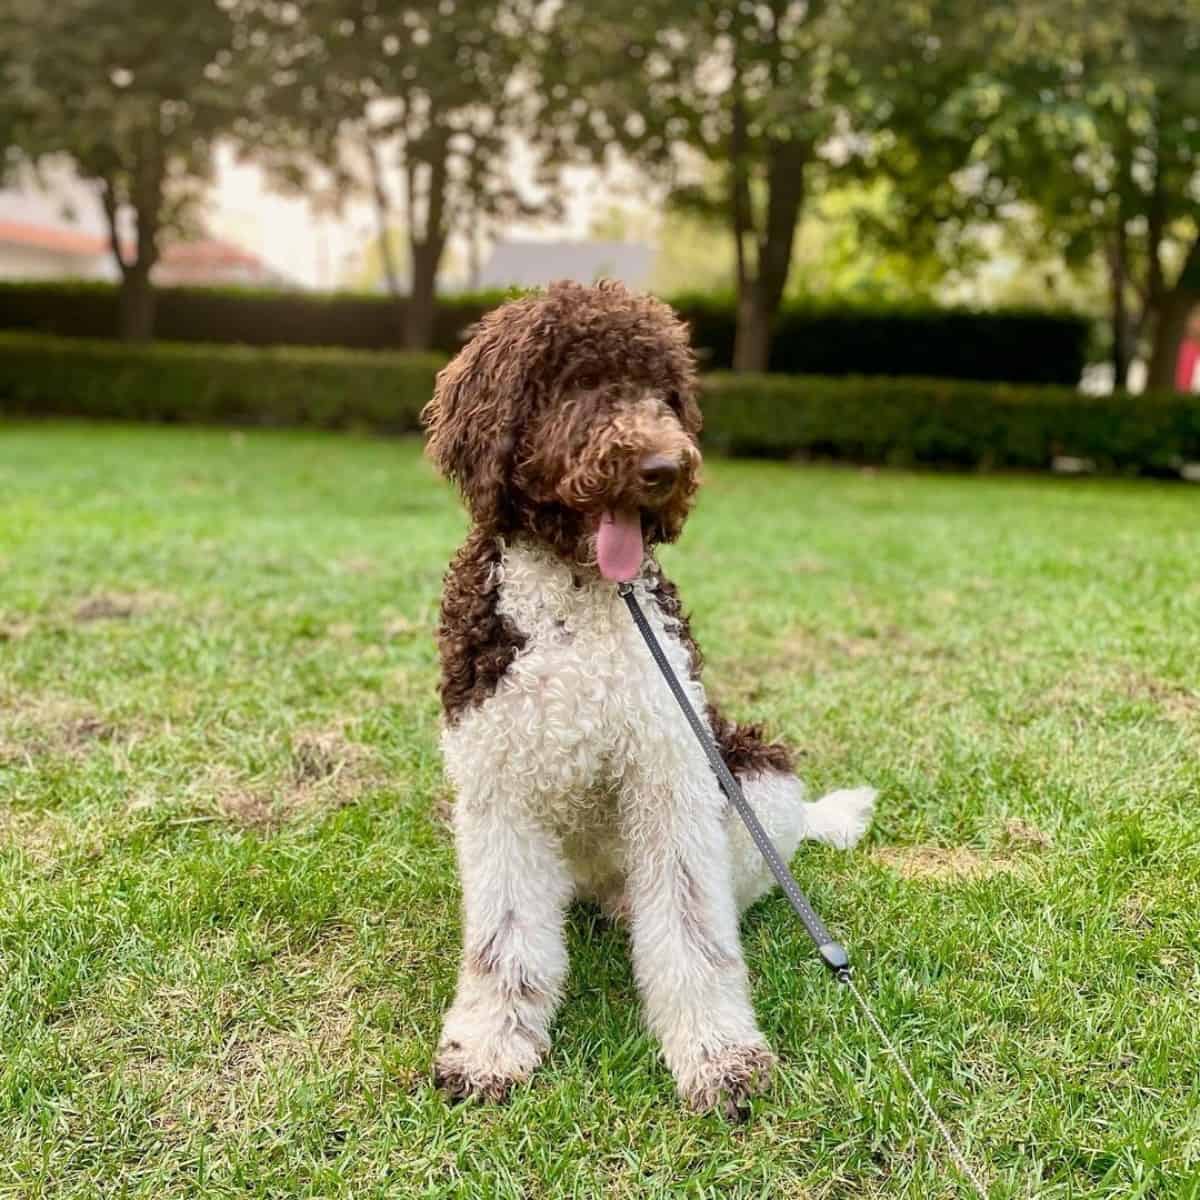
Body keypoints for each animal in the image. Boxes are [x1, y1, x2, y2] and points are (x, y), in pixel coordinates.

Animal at [422, 278, 873, 1113]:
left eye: (664, 394)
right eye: (576, 385)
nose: (666, 466)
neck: (576, 596)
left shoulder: (672, 774)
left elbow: (694, 934)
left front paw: (717, 1052)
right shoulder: (498, 786)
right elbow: (506, 939)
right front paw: (493, 1043)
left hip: (753, 774)